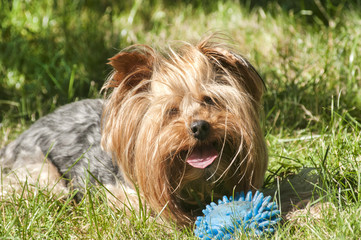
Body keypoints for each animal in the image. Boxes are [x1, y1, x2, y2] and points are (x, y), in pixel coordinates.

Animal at [0, 35, 268, 225]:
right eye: (171, 111)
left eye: (210, 100)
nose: (200, 126)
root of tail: (14, 142)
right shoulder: (120, 193)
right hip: (40, 173)